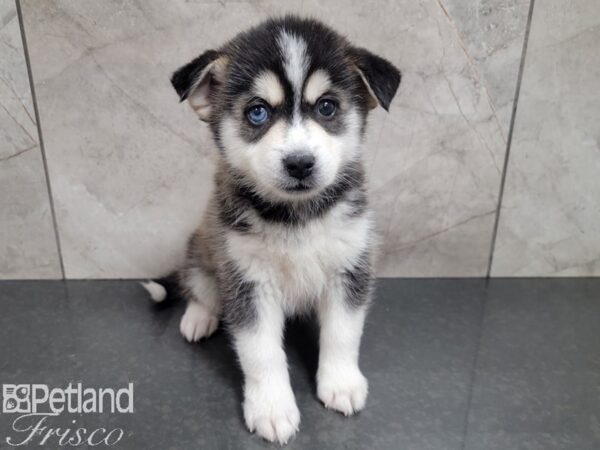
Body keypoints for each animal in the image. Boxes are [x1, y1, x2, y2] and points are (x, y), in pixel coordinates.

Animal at [143, 14, 400, 446]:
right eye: (258, 113)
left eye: (327, 107)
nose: (300, 163)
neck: (296, 216)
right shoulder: (248, 282)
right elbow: (261, 353)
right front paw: (272, 408)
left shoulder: (349, 268)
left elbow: (343, 334)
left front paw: (341, 383)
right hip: (203, 252)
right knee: (199, 287)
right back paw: (198, 318)